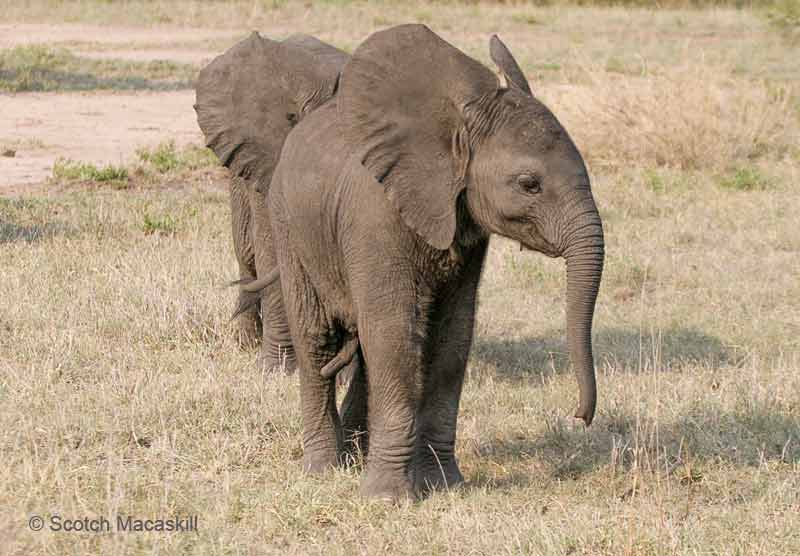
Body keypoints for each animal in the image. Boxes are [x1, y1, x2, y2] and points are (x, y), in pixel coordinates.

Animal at [264, 26, 608, 502]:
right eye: (529, 184)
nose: (580, 416)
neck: (456, 127)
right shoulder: (374, 213)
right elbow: (394, 333)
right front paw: (388, 499)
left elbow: (451, 338)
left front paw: (445, 484)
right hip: (288, 226)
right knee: (317, 340)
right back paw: (324, 469)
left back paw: (355, 457)